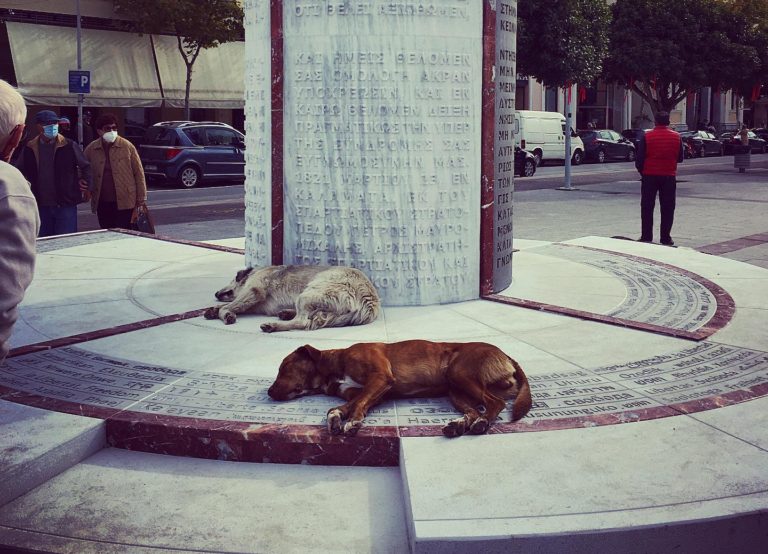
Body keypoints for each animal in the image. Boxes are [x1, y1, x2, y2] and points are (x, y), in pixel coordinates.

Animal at [268, 338, 532, 438]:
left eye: (284, 367)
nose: (269, 393)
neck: (335, 365)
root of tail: (506, 355)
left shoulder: (381, 378)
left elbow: (358, 404)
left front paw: (352, 422)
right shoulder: (371, 393)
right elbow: (345, 405)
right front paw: (335, 417)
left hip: (460, 373)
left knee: (494, 404)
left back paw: (481, 423)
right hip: (455, 391)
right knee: (475, 410)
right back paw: (460, 424)